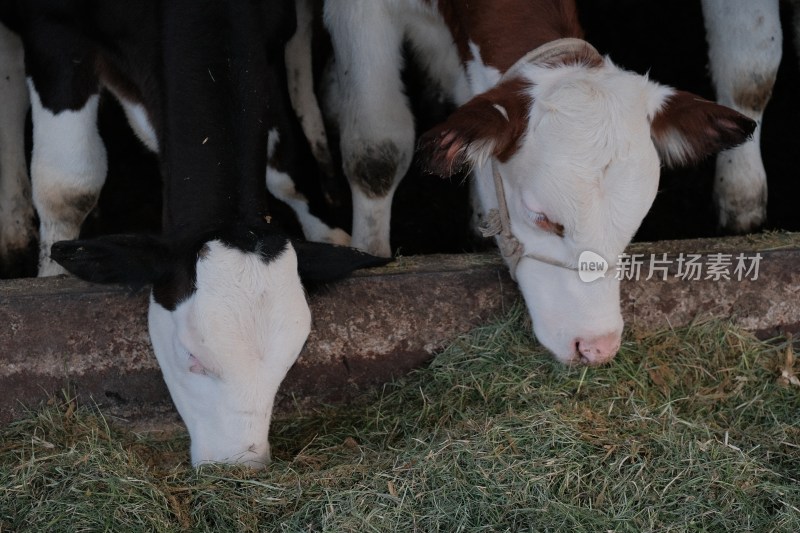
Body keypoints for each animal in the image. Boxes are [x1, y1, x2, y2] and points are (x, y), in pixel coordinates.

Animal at [1, 0, 386, 466]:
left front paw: (332, 236)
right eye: (191, 356)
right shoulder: (54, 31)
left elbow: (286, 166)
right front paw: (51, 279)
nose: (240, 464)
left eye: (291, 359)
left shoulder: (270, 36)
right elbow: (68, 185)